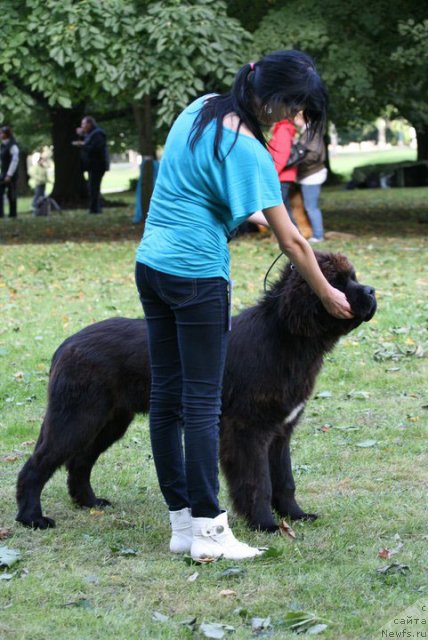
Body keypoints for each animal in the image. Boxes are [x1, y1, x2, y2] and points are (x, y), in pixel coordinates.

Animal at [15, 252, 374, 532]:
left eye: (353, 277)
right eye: (337, 281)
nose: (371, 290)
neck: (285, 336)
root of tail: (66, 345)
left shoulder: (280, 431)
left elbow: (284, 480)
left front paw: (296, 515)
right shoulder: (246, 430)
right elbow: (257, 481)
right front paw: (265, 524)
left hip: (110, 421)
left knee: (79, 461)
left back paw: (89, 502)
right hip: (77, 417)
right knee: (38, 464)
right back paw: (32, 518)